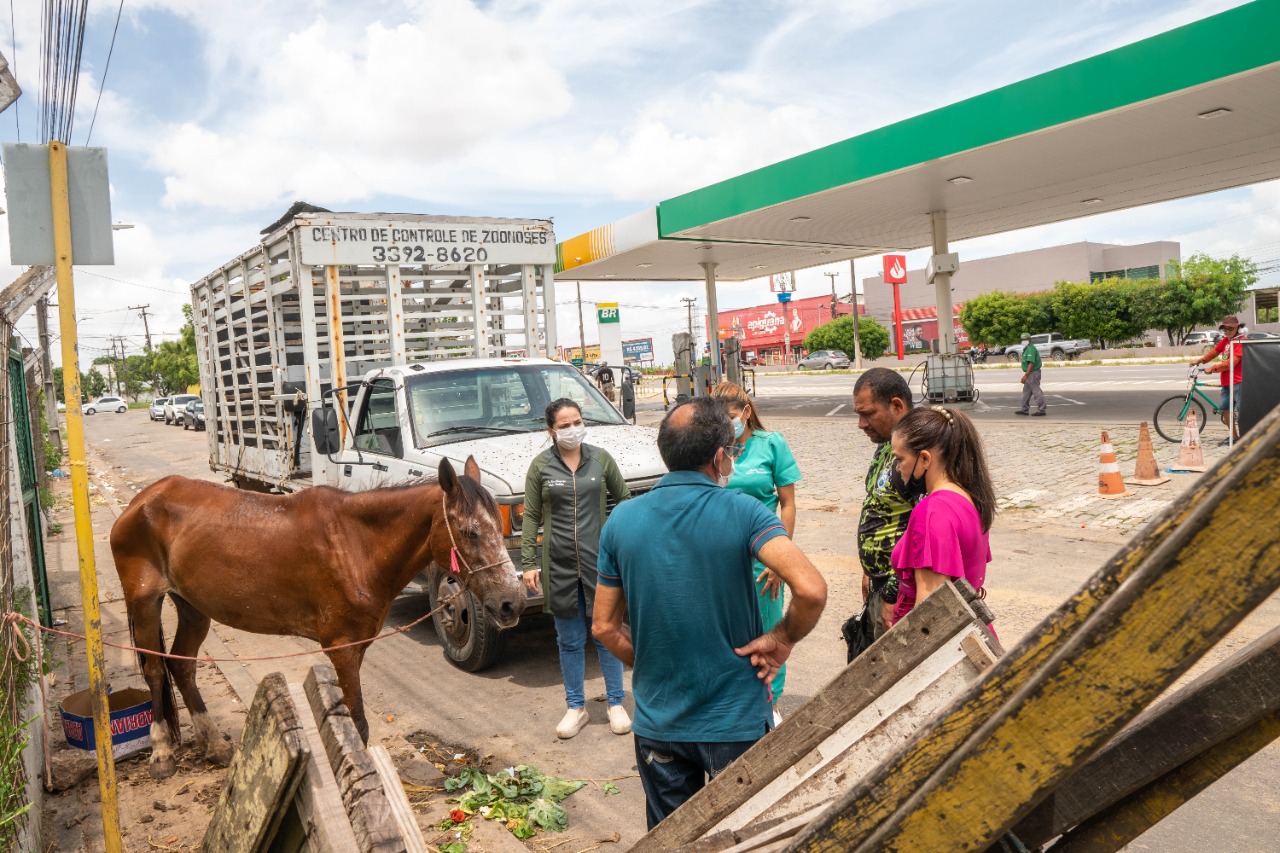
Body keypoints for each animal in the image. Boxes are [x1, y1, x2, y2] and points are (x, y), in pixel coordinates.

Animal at [111, 455, 524, 773]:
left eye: (497, 527)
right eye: (470, 532)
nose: (512, 603)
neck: (356, 546)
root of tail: (141, 500)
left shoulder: (354, 647)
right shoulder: (342, 648)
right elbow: (358, 726)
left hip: (194, 607)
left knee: (182, 665)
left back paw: (212, 744)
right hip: (144, 603)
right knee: (153, 669)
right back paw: (161, 751)